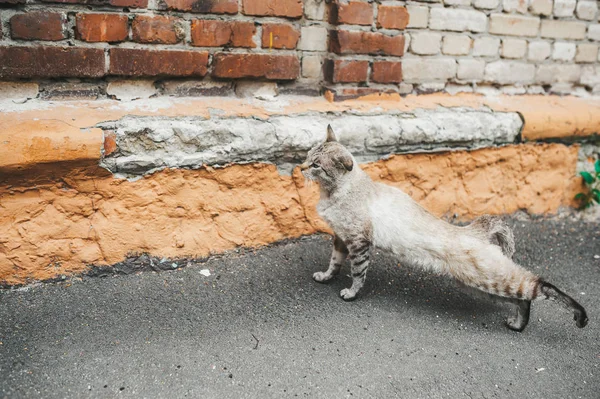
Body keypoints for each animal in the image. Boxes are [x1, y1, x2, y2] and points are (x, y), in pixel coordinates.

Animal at [298, 126, 588, 332]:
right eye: (306, 157)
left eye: (316, 165)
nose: (299, 169)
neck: (331, 194)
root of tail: (473, 230)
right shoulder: (340, 237)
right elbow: (334, 263)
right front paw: (325, 277)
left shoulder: (359, 243)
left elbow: (358, 274)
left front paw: (350, 293)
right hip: (477, 285)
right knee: (522, 299)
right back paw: (517, 324)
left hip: (490, 278)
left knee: (536, 287)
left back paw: (578, 316)